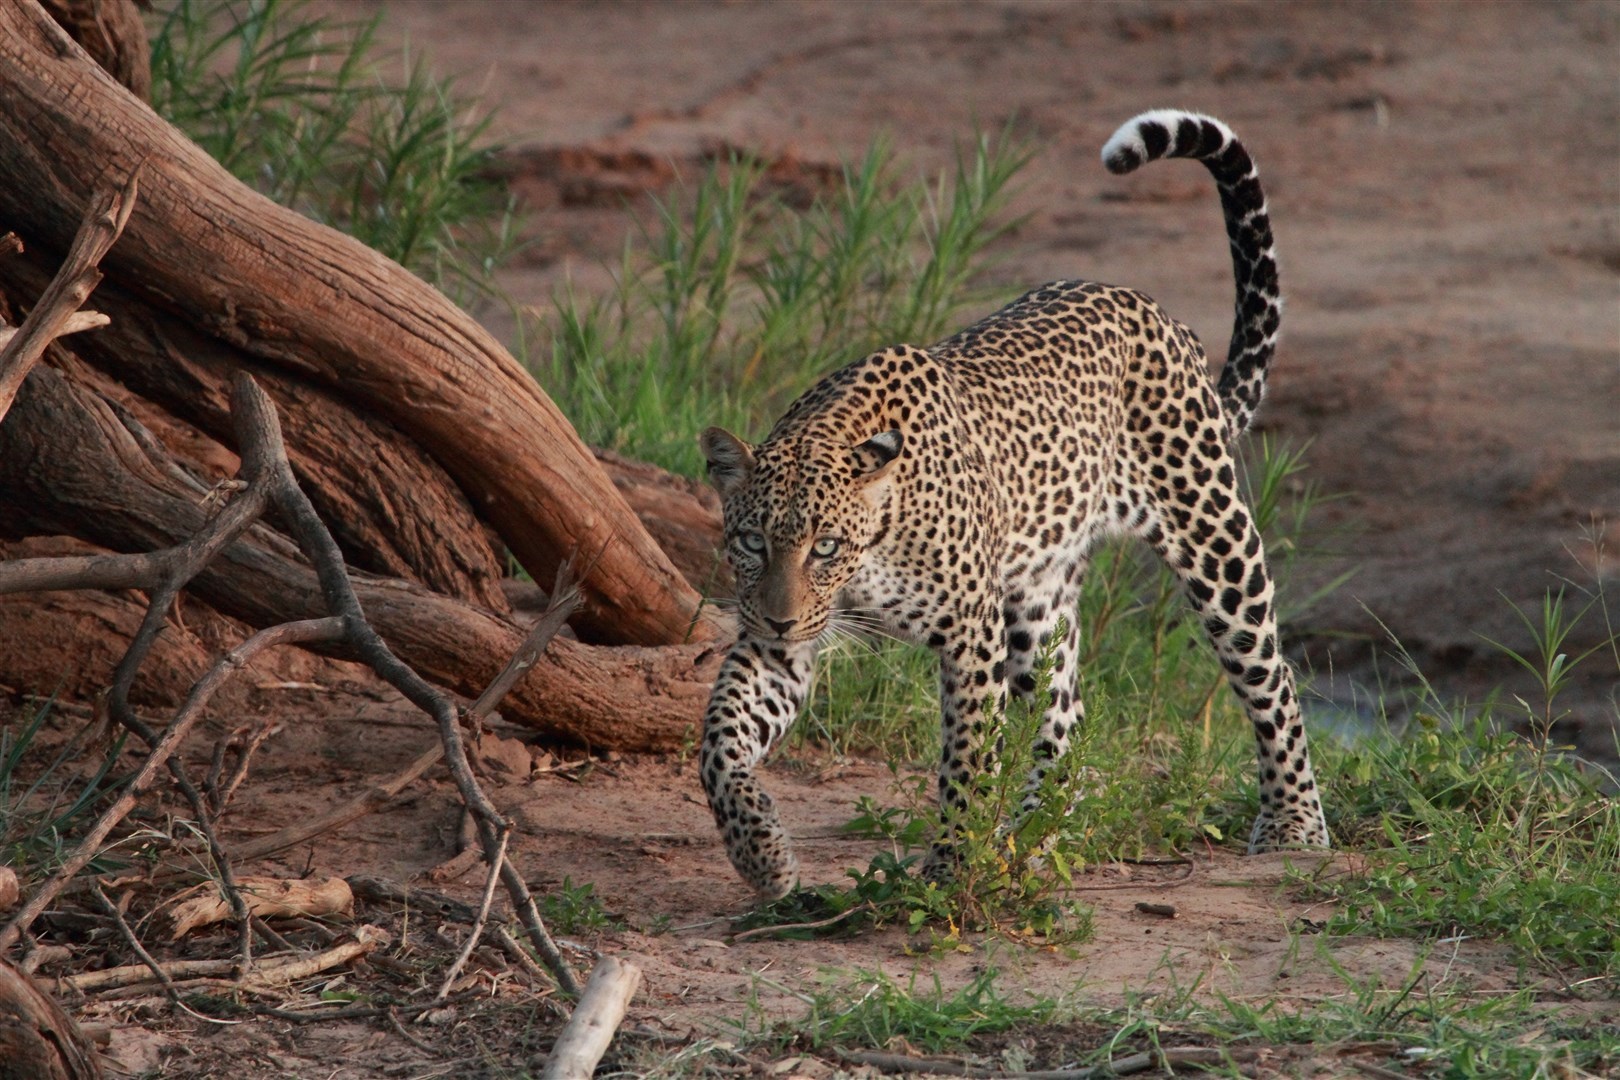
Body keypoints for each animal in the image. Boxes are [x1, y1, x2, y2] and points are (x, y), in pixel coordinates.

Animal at [698, 109, 1331, 901]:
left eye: (826, 547)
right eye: (753, 543)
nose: (781, 617)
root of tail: (1157, 313)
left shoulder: (970, 638)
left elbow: (966, 762)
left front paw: (950, 869)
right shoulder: (780, 639)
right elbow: (718, 739)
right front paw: (762, 855)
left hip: (1213, 532)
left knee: (1271, 677)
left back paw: (1294, 825)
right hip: (1038, 598)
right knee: (1066, 717)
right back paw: (1030, 841)